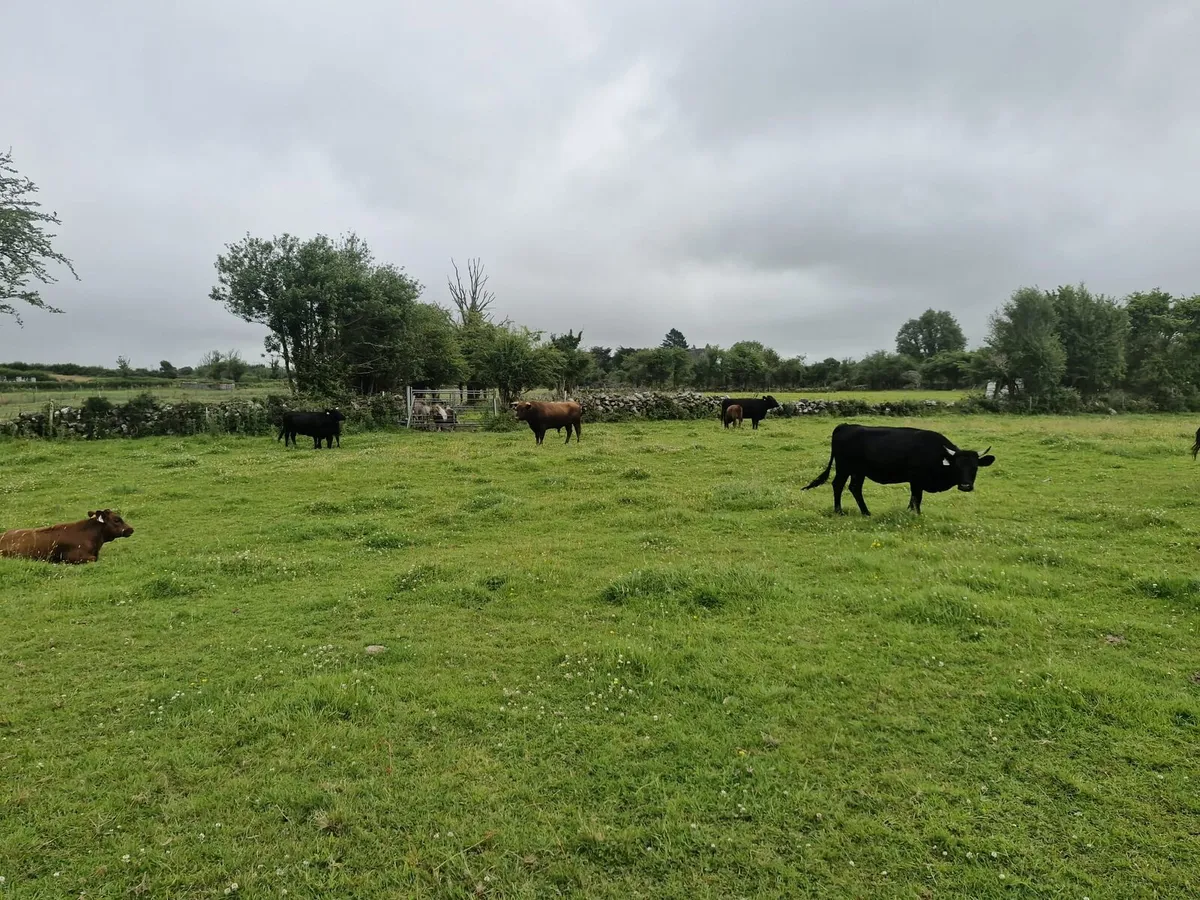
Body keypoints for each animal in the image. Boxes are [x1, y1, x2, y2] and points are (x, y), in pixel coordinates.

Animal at [802, 423, 995, 515]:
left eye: (975, 467)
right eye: (957, 466)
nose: (965, 486)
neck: (937, 454)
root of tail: (845, 426)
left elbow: (913, 499)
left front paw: (909, 512)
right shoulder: (916, 479)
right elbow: (917, 499)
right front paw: (916, 515)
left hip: (859, 471)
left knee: (854, 488)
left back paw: (866, 512)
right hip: (844, 467)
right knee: (838, 485)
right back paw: (839, 511)